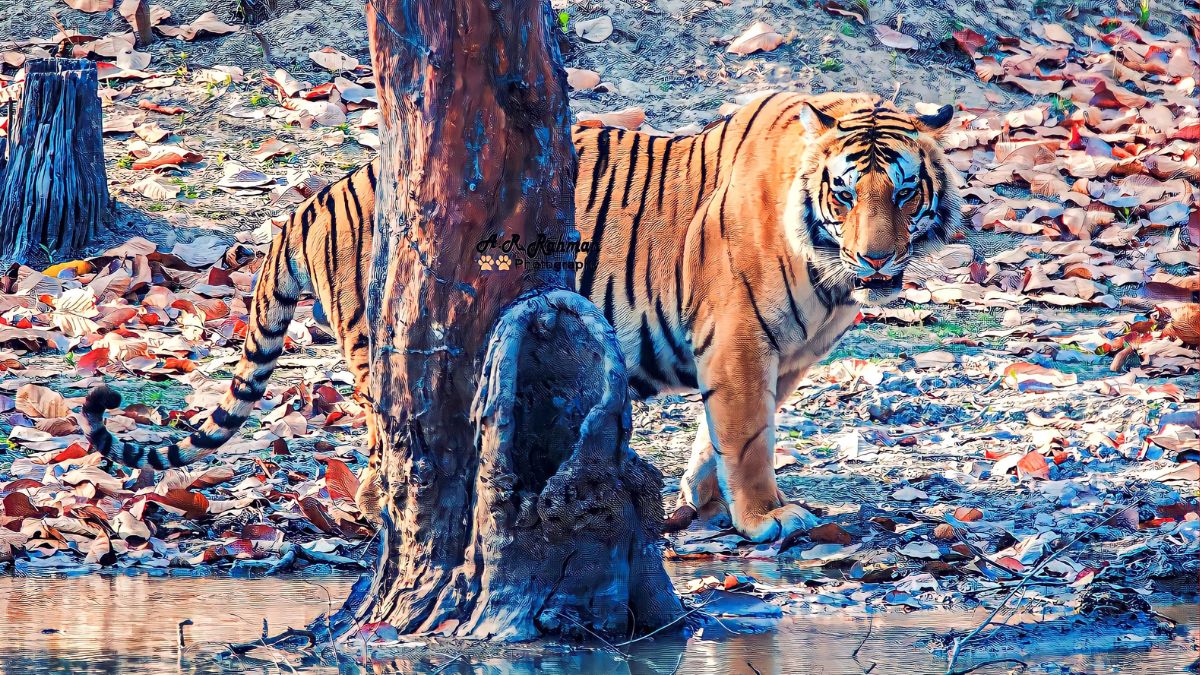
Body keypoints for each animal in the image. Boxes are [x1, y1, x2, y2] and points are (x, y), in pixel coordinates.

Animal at [82, 92, 960, 542]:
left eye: (903, 191)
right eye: (845, 192)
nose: (878, 260)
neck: (828, 273)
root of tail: (316, 199)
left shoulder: (785, 352)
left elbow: (731, 433)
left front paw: (700, 500)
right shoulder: (740, 339)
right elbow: (746, 434)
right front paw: (766, 516)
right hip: (383, 346)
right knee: (384, 453)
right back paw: (379, 513)